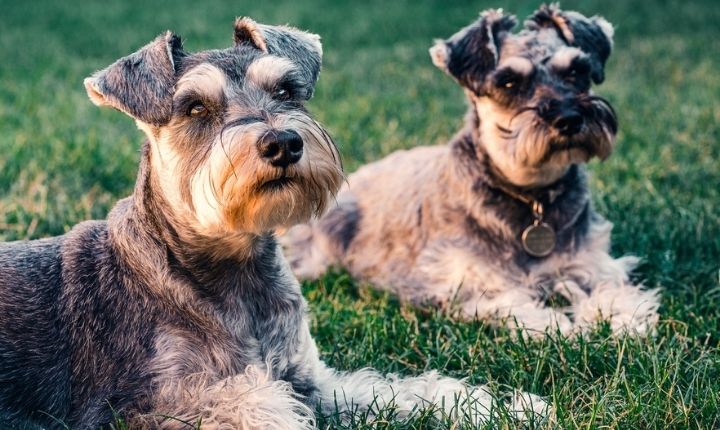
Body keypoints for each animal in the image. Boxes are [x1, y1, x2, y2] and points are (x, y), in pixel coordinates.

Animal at [0, 16, 544, 430]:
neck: (233, 272)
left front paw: (507, 407)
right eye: (194, 107)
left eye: (286, 89)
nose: (282, 142)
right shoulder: (159, 405)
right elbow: (260, 407)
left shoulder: (309, 379)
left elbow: (402, 390)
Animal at [284, 5, 660, 336]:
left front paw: (621, 320)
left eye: (576, 72)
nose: (569, 119)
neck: (531, 197)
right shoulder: (467, 279)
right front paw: (557, 327)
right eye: (509, 82)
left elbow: (614, 290)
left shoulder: (594, 262)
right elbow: (515, 302)